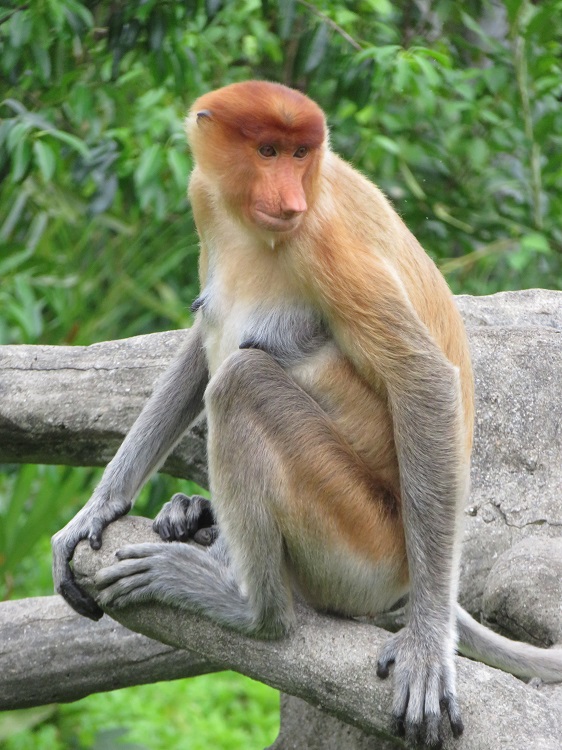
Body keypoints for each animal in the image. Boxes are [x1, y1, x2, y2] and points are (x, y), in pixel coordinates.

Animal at [51, 80, 562, 748]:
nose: (289, 198)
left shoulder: (322, 240)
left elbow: (423, 379)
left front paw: (426, 652)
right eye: (267, 150)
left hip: (362, 543)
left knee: (242, 382)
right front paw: (95, 510)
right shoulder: (204, 197)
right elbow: (198, 337)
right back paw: (197, 518)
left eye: (299, 154)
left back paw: (249, 605)